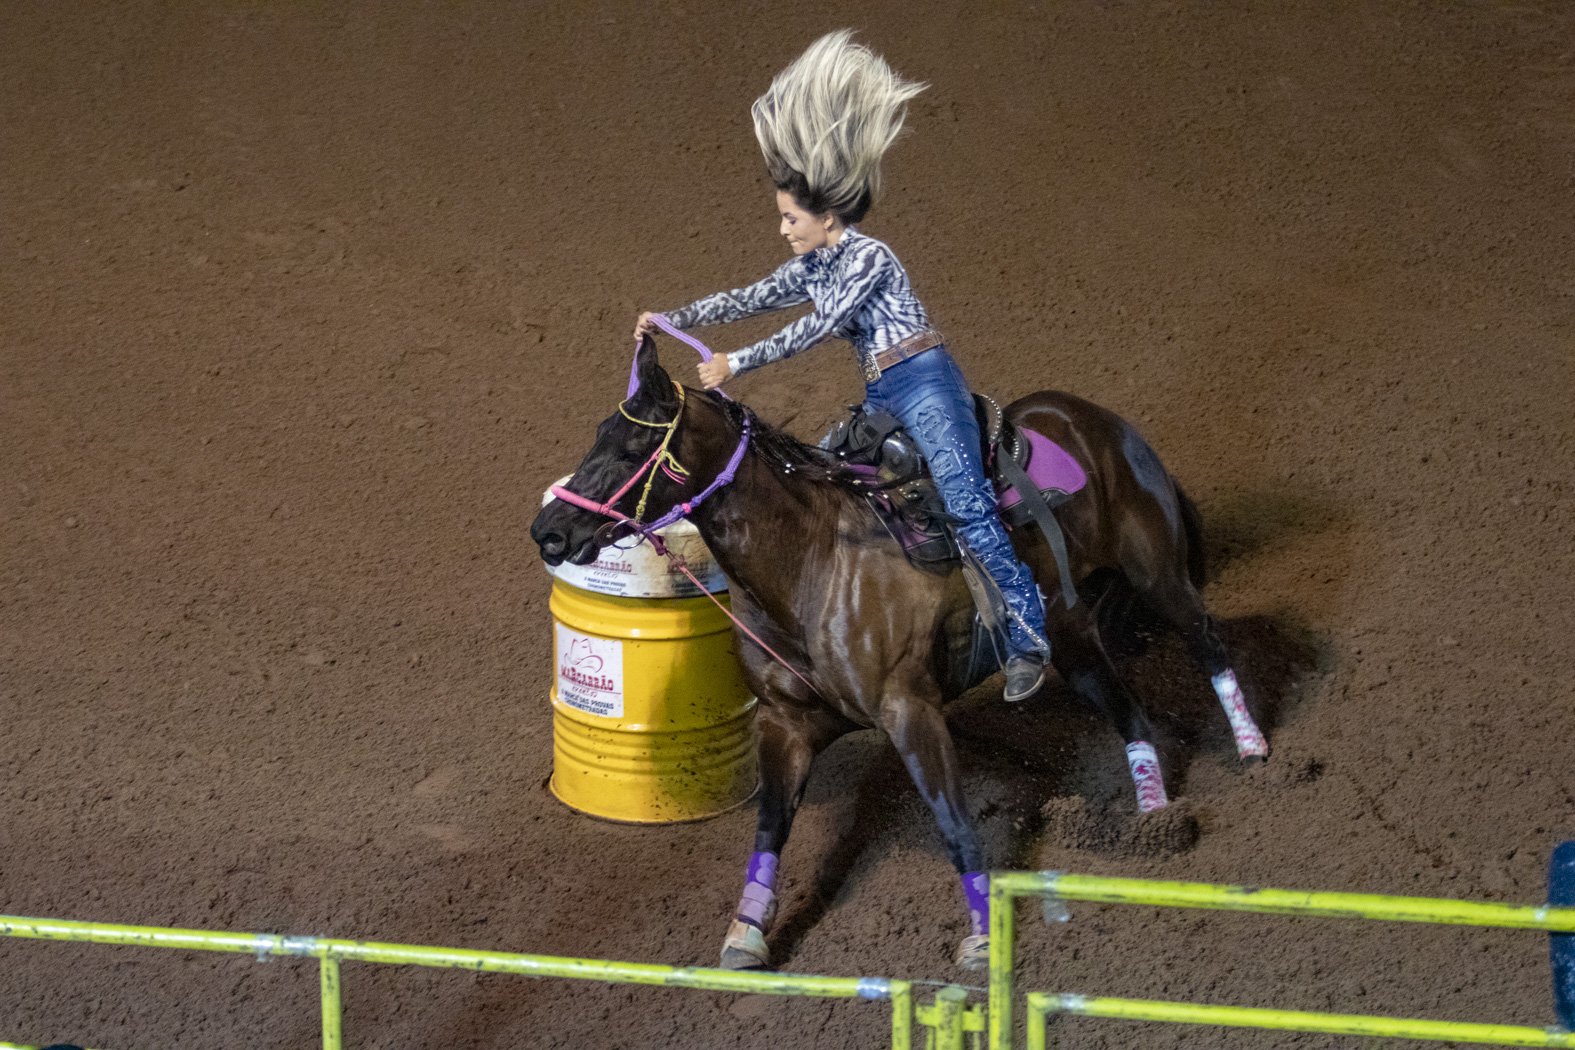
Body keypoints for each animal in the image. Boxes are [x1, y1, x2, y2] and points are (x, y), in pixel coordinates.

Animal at [529, 341, 1266, 976]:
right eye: (597, 435)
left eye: (632, 446)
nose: (548, 532)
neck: (810, 564)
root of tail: (1093, 419)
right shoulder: (787, 724)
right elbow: (769, 828)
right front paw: (745, 935)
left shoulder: (911, 711)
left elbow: (954, 825)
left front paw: (980, 941)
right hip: (1070, 632)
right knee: (1129, 711)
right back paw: (1154, 817)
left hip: (1158, 575)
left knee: (1205, 640)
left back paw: (1251, 747)